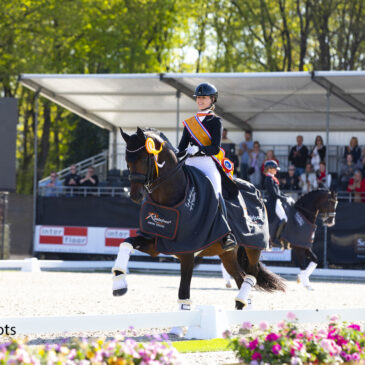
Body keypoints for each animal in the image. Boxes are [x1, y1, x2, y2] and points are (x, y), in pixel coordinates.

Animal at [111, 126, 284, 322]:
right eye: (127, 160)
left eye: (143, 159)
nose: (135, 195)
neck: (170, 198)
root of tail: (255, 189)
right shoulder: (156, 244)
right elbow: (126, 243)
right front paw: (119, 283)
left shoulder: (188, 254)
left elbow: (183, 293)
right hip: (227, 254)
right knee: (240, 278)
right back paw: (244, 313)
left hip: (253, 247)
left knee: (251, 274)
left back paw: (242, 303)